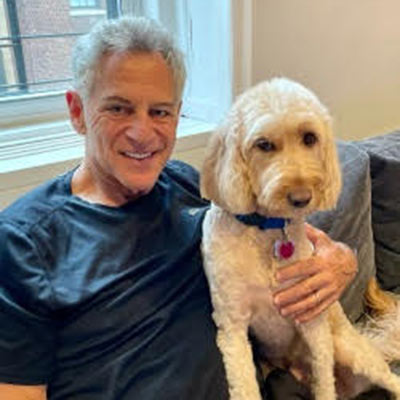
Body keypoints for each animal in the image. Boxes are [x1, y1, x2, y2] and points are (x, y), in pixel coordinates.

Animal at [202, 78, 400, 400]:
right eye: (263, 144)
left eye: (309, 138)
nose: (302, 197)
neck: (266, 230)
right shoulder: (232, 327)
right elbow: (243, 384)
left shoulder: (313, 318)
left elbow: (324, 382)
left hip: (349, 350)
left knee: (392, 379)